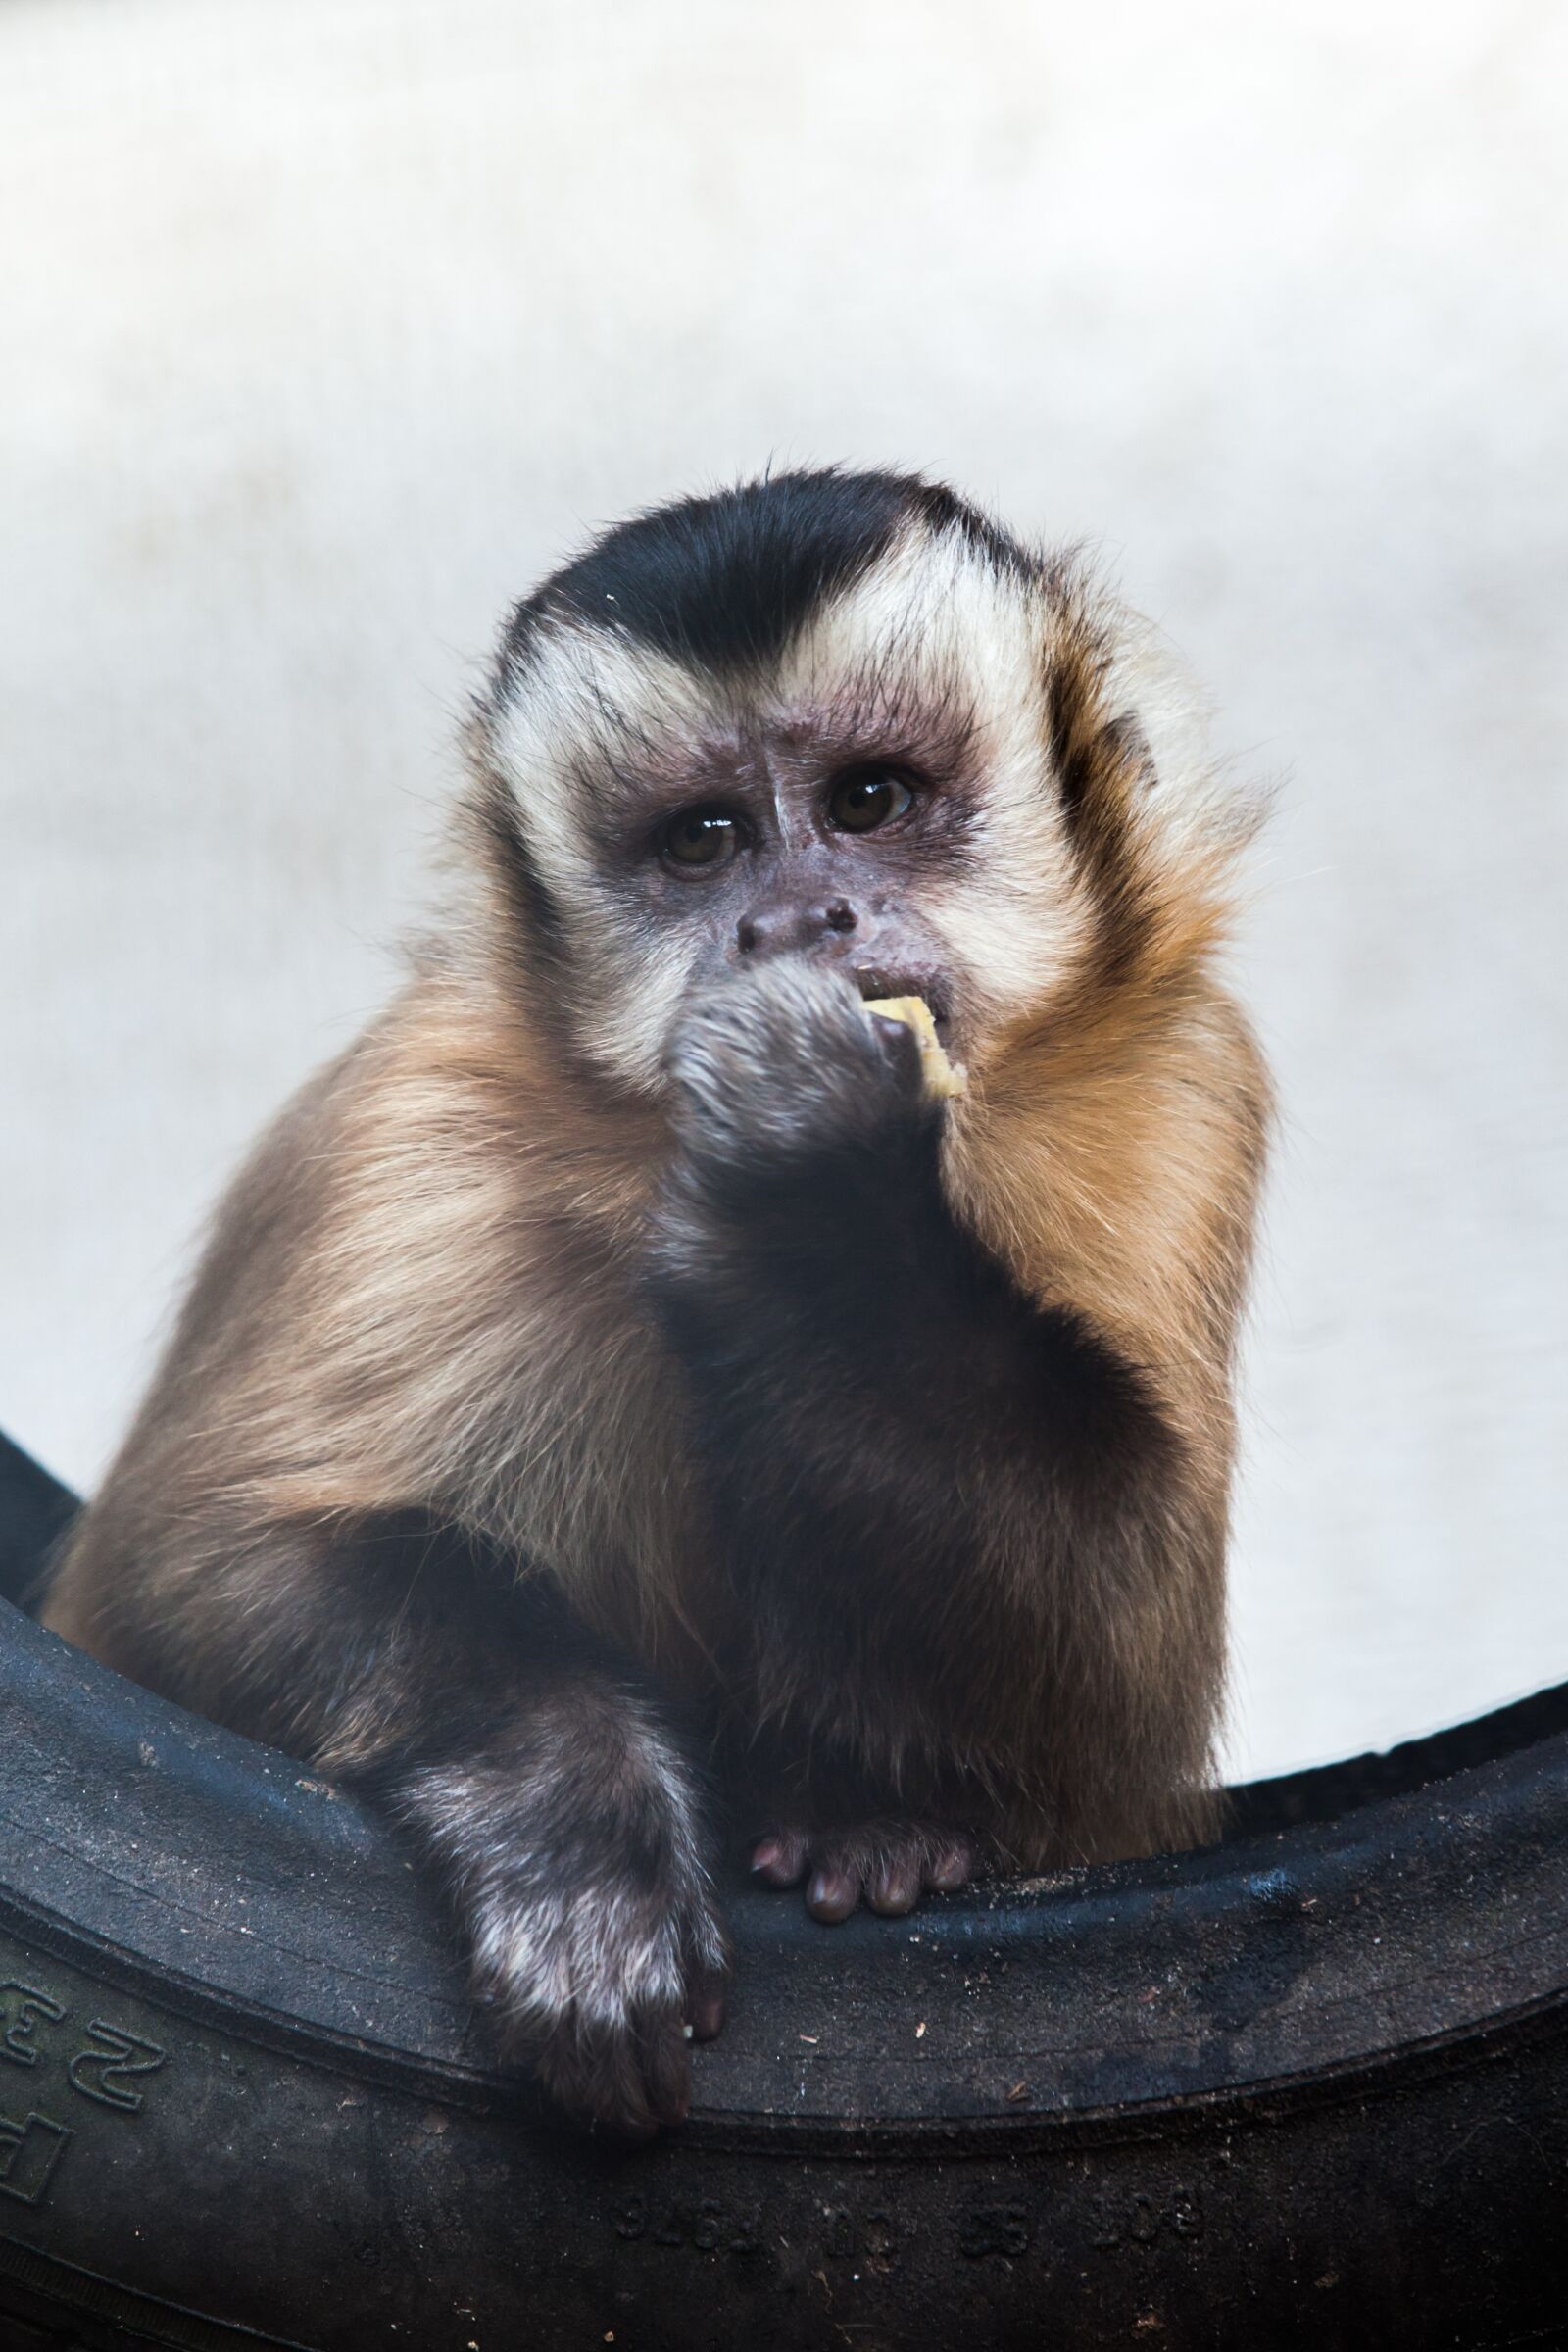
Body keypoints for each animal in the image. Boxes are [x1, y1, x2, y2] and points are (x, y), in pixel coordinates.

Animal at [43, 468, 1270, 2139]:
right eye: (702, 842)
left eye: (868, 803)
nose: (794, 922)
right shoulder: (415, 1131)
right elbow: (191, 1570)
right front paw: (579, 1822)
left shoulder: (1180, 1079)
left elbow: (1113, 1683)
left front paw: (814, 1213)